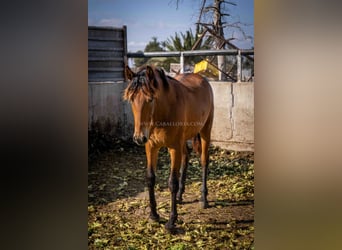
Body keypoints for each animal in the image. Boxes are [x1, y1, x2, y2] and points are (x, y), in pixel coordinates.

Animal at [123, 65, 214, 232]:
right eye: (131, 99)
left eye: (150, 99)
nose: (139, 137)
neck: (163, 111)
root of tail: (202, 79)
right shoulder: (151, 147)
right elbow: (150, 178)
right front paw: (153, 215)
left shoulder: (174, 148)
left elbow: (172, 182)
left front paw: (172, 221)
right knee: (186, 157)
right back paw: (179, 196)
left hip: (205, 131)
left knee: (204, 161)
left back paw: (203, 199)